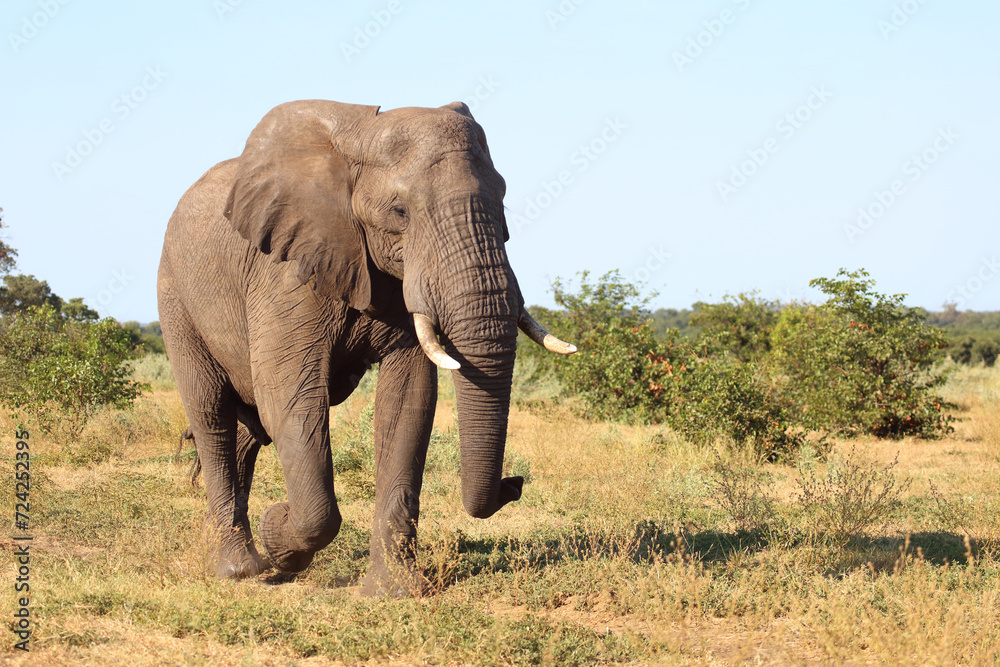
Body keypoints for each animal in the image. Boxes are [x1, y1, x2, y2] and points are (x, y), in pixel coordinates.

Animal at [157, 99, 575, 596]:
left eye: (503, 202)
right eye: (399, 211)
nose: (515, 482)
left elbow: (409, 402)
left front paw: (394, 592)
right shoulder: (285, 272)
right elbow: (291, 398)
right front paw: (279, 530)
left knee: (248, 428)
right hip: (175, 297)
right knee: (211, 414)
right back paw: (238, 569)